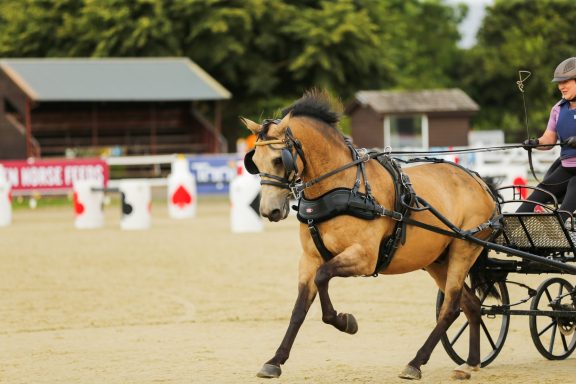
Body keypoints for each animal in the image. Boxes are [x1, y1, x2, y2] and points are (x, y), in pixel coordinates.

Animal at [242, 90, 500, 380]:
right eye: (254, 161)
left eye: (279, 159)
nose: (270, 210)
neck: (342, 187)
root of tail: (480, 182)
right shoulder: (309, 259)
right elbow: (299, 309)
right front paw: (275, 361)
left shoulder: (364, 258)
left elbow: (323, 278)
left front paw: (345, 321)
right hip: (437, 261)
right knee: (471, 305)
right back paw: (471, 362)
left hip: (463, 251)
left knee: (451, 308)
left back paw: (415, 363)